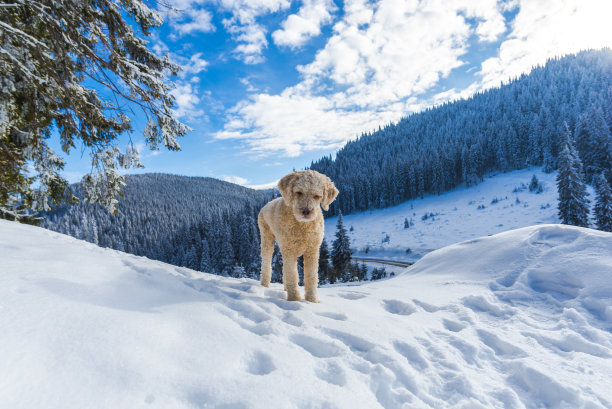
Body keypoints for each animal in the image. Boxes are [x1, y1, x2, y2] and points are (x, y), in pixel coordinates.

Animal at [256, 168, 338, 300]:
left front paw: (311, 300)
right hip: (266, 237)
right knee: (266, 263)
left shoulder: (312, 250)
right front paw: (294, 299)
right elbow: (292, 275)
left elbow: (311, 277)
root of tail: (267, 204)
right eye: (299, 192)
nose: (306, 211)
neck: (302, 226)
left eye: (317, 196)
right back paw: (264, 285)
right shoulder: (290, 250)